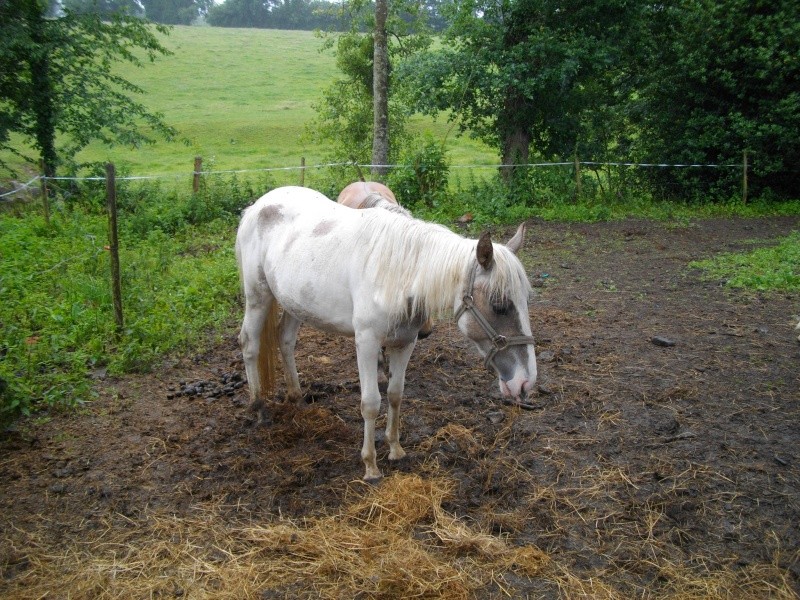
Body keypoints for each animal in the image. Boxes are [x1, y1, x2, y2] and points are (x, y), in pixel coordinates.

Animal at [238, 185, 536, 480]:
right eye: (499, 305)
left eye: (525, 301)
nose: (525, 383)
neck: (397, 274)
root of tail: (257, 206)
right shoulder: (367, 343)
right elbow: (371, 402)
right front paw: (370, 466)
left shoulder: (405, 343)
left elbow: (395, 394)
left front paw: (395, 449)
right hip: (258, 296)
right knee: (249, 343)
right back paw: (259, 408)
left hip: (293, 302)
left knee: (285, 340)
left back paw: (297, 398)